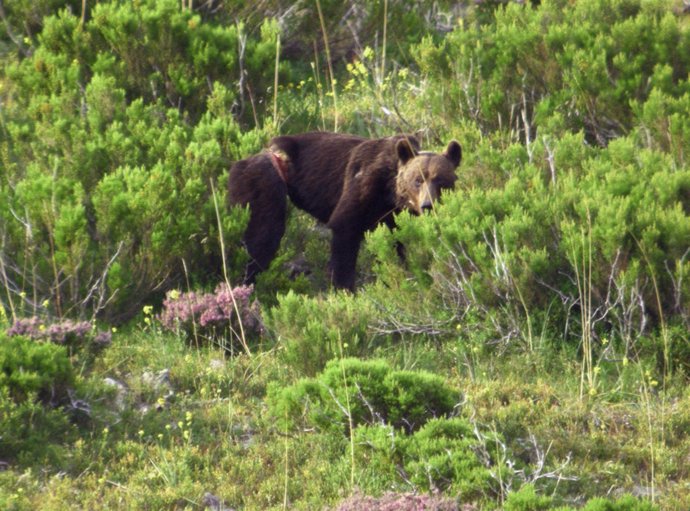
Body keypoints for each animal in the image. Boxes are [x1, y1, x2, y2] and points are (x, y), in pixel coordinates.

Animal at [228, 131, 461, 290]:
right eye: (417, 180)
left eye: (441, 180)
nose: (427, 205)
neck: (390, 191)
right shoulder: (364, 184)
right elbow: (345, 229)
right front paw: (344, 289)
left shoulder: (393, 215)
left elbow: (399, 244)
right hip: (264, 180)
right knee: (264, 235)